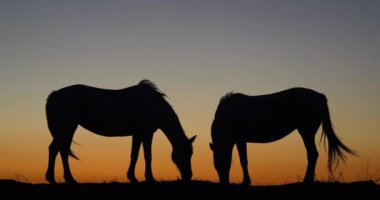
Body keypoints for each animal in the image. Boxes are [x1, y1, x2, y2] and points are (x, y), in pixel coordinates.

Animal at [45, 79, 196, 184]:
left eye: (191, 154)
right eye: (184, 154)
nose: (188, 176)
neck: (153, 105)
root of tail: (55, 94)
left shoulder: (137, 134)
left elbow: (134, 155)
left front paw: (132, 177)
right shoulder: (147, 133)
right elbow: (148, 155)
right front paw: (150, 178)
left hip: (68, 129)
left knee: (61, 150)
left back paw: (65, 179)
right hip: (66, 127)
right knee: (56, 149)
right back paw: (56, 179)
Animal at [209, 88, 354, 185]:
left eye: (222, 162)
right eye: (215, 165)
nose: (224, 183)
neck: (229, 115)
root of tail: (320, 96)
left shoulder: (240, 139)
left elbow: (243, 161)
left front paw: (246, 182)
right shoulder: (241, 140)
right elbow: (244, 160)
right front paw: (246, 181)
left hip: (306, 132)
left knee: (312, 154)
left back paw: (306, 180)